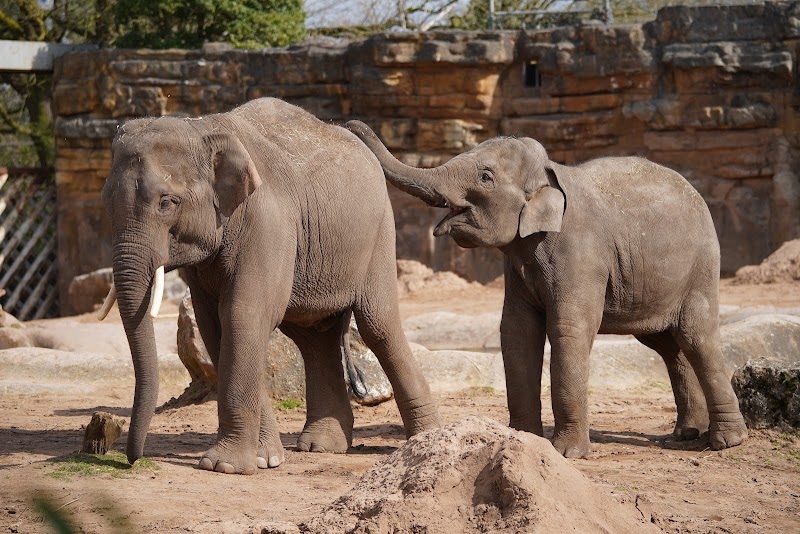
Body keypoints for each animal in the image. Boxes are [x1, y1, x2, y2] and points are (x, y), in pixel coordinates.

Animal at [98, 98, 440, 474]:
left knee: (378, 327)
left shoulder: (267, 221)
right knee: (314, 337)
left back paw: (426, 439)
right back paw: (321, 447)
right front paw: (265, 459)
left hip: (379, 234)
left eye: (166, 202)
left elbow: (242, 316)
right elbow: (214, 327)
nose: (131, 460)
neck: (201, 127)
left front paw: (224, 467)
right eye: (105, 202)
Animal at [346, 120, 748, 458]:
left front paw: (567, 454)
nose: (349, 123)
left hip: (701, 267)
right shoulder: (517, 262)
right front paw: (523, 440)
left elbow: (568, 329)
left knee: (695, 335)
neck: (548, 174)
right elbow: (517, 331)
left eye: (485, 177)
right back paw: (683, 435)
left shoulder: (580, 252)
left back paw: (726, 441)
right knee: (668, 345)